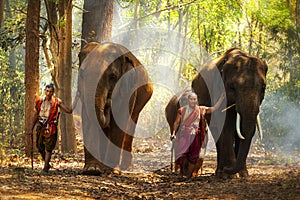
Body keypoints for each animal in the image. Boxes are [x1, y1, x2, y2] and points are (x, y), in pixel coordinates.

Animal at [76, 41, 154, 174]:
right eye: (81, 74)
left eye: (112, 77)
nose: (108, 102)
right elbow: (88, 120)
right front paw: (92, 170)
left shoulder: (129, 89)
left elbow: (119, 122)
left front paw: (111, 171)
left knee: (130, 125)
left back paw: (126, 168)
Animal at [166, 47, 268, 177]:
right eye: (232, 87)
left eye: (263, 88)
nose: (228, 169)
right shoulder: (217, 89)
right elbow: (225, 124)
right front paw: (229, 175)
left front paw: (243, 174)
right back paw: (219, 171)